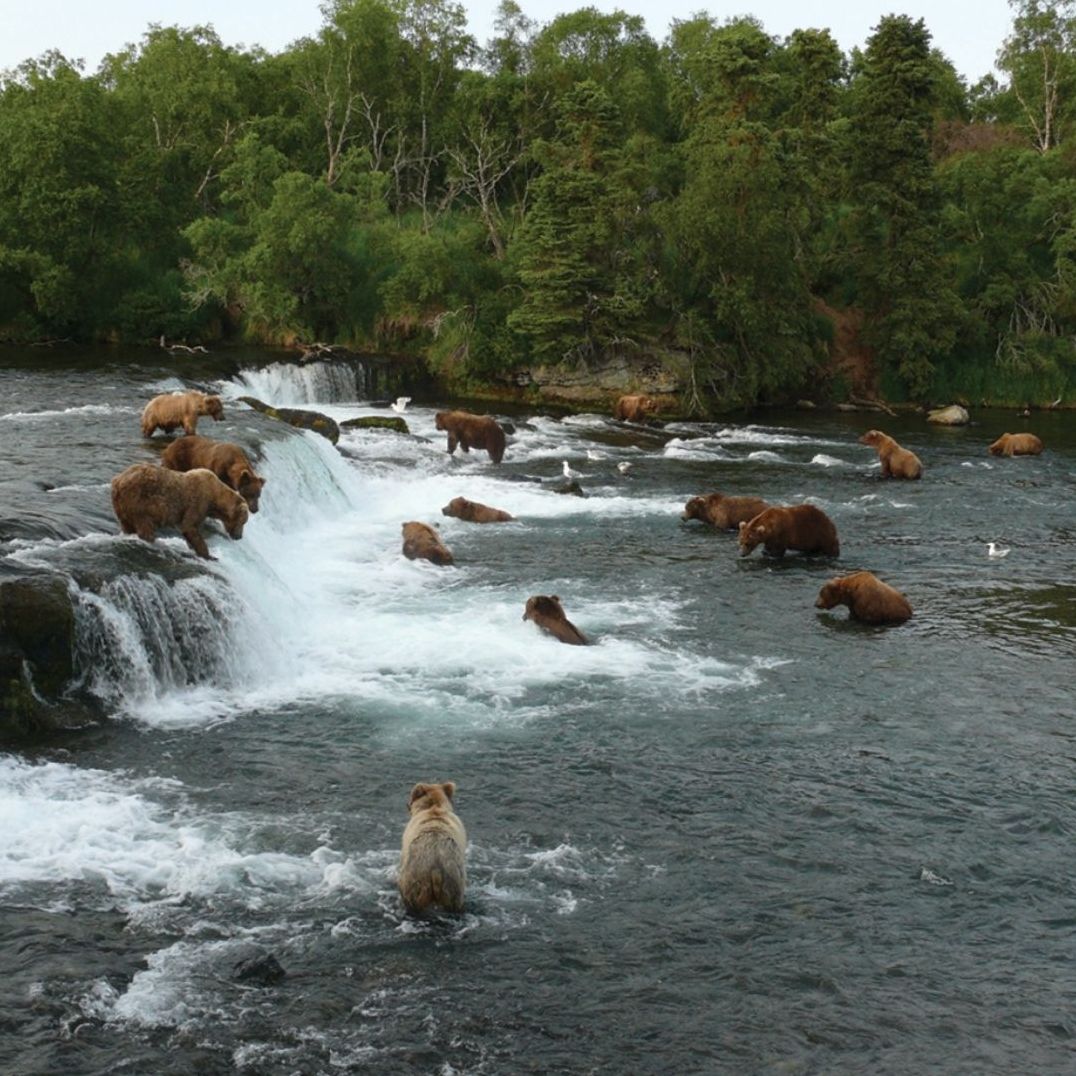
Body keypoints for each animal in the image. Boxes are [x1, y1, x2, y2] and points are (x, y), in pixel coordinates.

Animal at [110, 463, 249, 560]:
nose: (239, 537)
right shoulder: (198, 502)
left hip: (123, 507)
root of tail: (118, 480)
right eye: (243, 522)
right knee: (145, 525)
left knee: (127, 524)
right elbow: (189, 527)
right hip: (139, 501)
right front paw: (210, 555)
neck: (214, 499)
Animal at [397, 781, 467, 915]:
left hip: (415, 878)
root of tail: (435, 870)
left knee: (411, 899)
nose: (407, 804)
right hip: (453, 881)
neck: (434, 808)